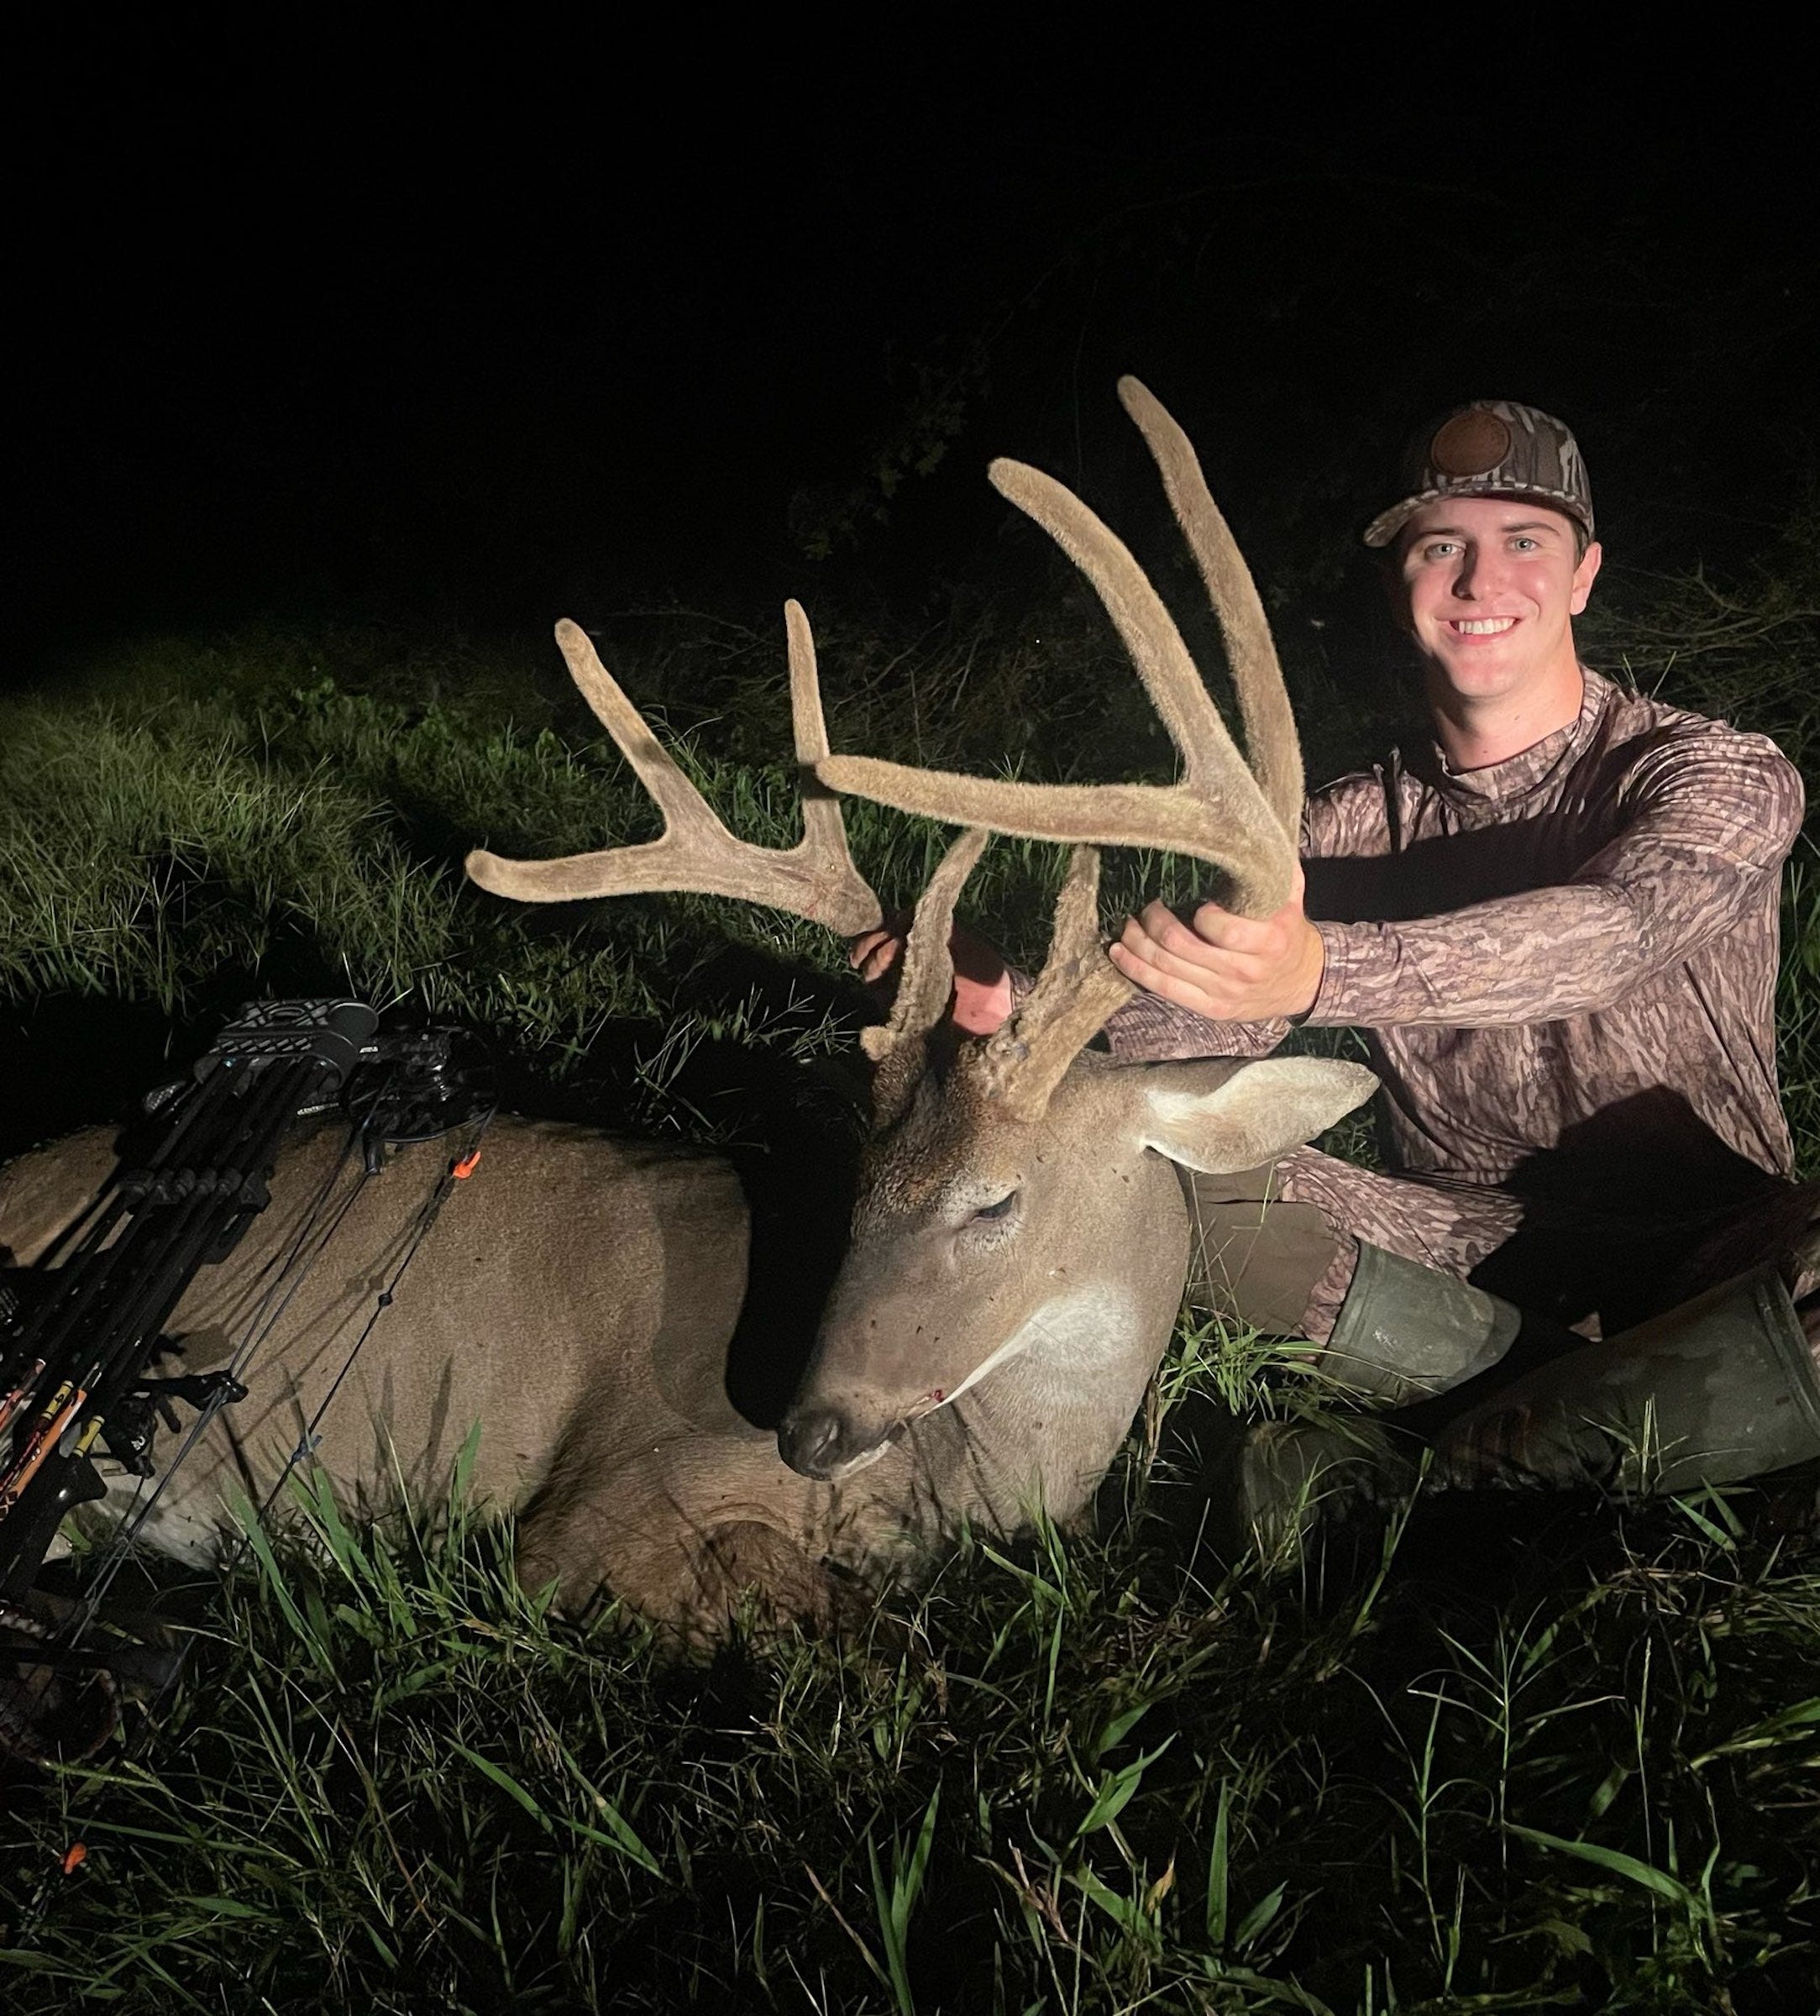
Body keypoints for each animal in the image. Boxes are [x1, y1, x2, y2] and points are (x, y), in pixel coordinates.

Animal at [0, 380, 1373, 1644]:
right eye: (859, 1174)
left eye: (994, 1201)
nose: (812, 1429)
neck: (984, 1477)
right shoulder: (606, 1505)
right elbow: (799, 1613)